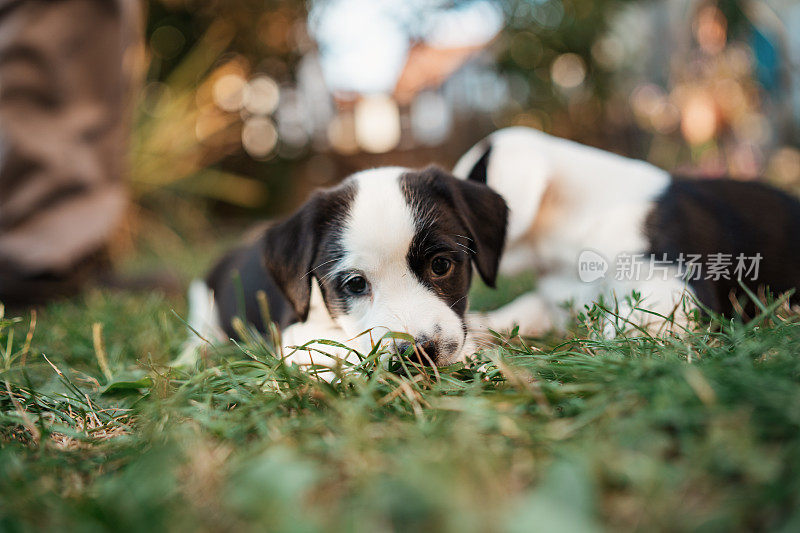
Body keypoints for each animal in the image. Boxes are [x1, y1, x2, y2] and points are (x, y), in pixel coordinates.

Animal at [181, 164, 506, 368]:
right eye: (356, 284)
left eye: (440, 265)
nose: (416, 353)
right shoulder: (295, 330)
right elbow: (336, 346)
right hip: (204, 301)